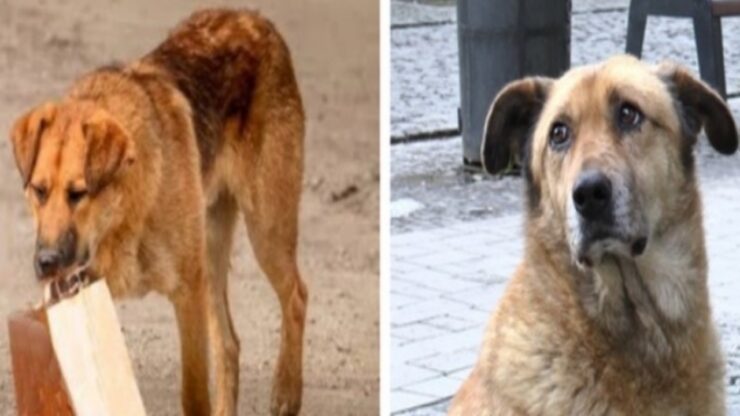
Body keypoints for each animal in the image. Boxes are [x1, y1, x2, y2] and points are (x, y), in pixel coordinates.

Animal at [8, 8, 304, 416]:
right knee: (229, 344)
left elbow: (193, 395)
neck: (124, 213)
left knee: (296, 295)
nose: (46, 263)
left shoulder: (187, 292)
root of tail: (255, 19)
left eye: (78, 194)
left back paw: (287, 390)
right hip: (212, 256)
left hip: (264, 232)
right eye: (38, 191)